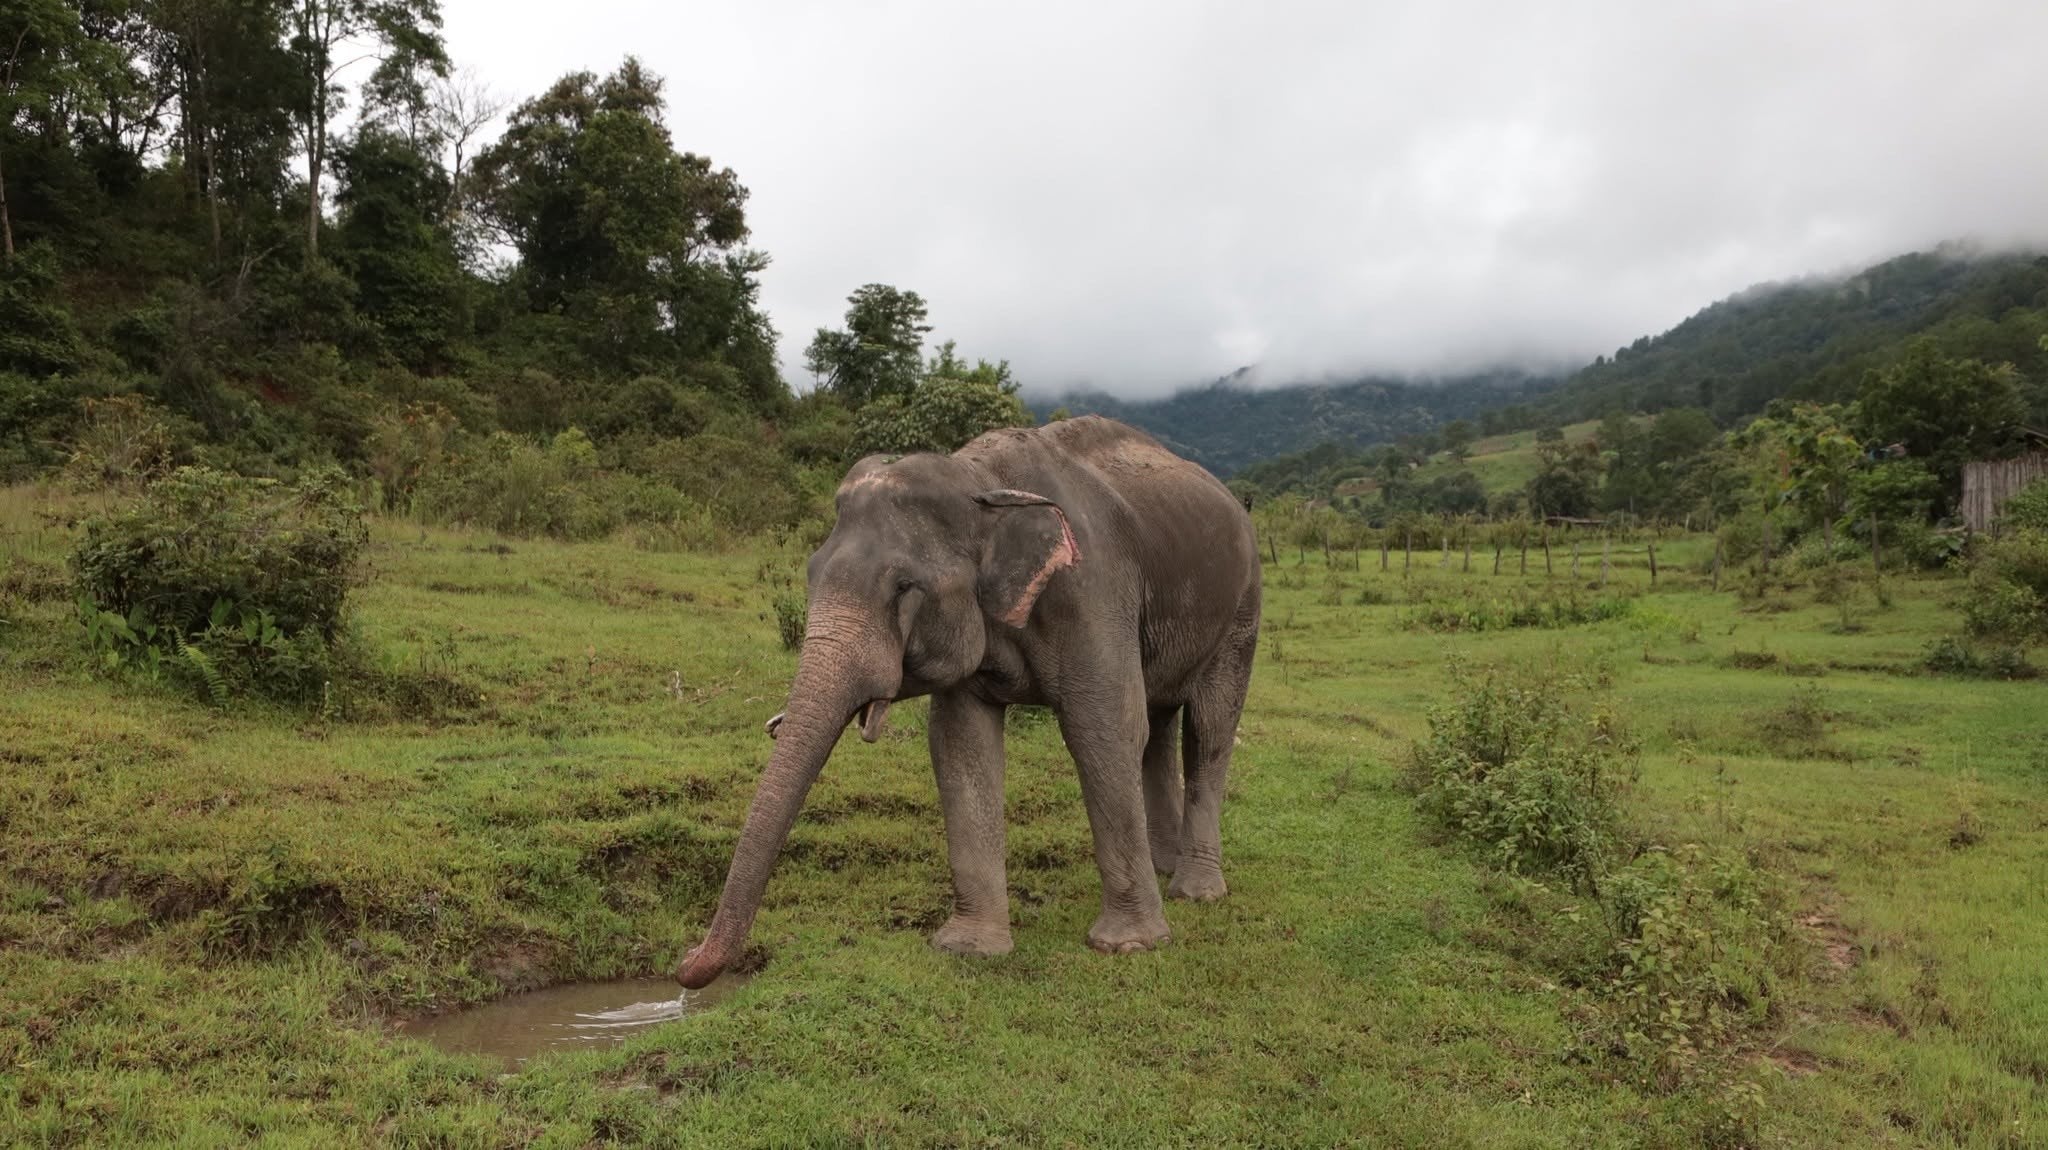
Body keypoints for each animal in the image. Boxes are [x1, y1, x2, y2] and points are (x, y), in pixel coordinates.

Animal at [676, 415, 1261, 988]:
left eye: (904, 587)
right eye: (811, 573)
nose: (685, 961)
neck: (979, 481)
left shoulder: (1093, 588)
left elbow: (1105, 726)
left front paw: (1128, 947)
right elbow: (960, 742)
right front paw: (969, 948)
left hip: (1244, 606)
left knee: (1208, 727)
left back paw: (1195, 890)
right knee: (1161, 721)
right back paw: (1164, 867)